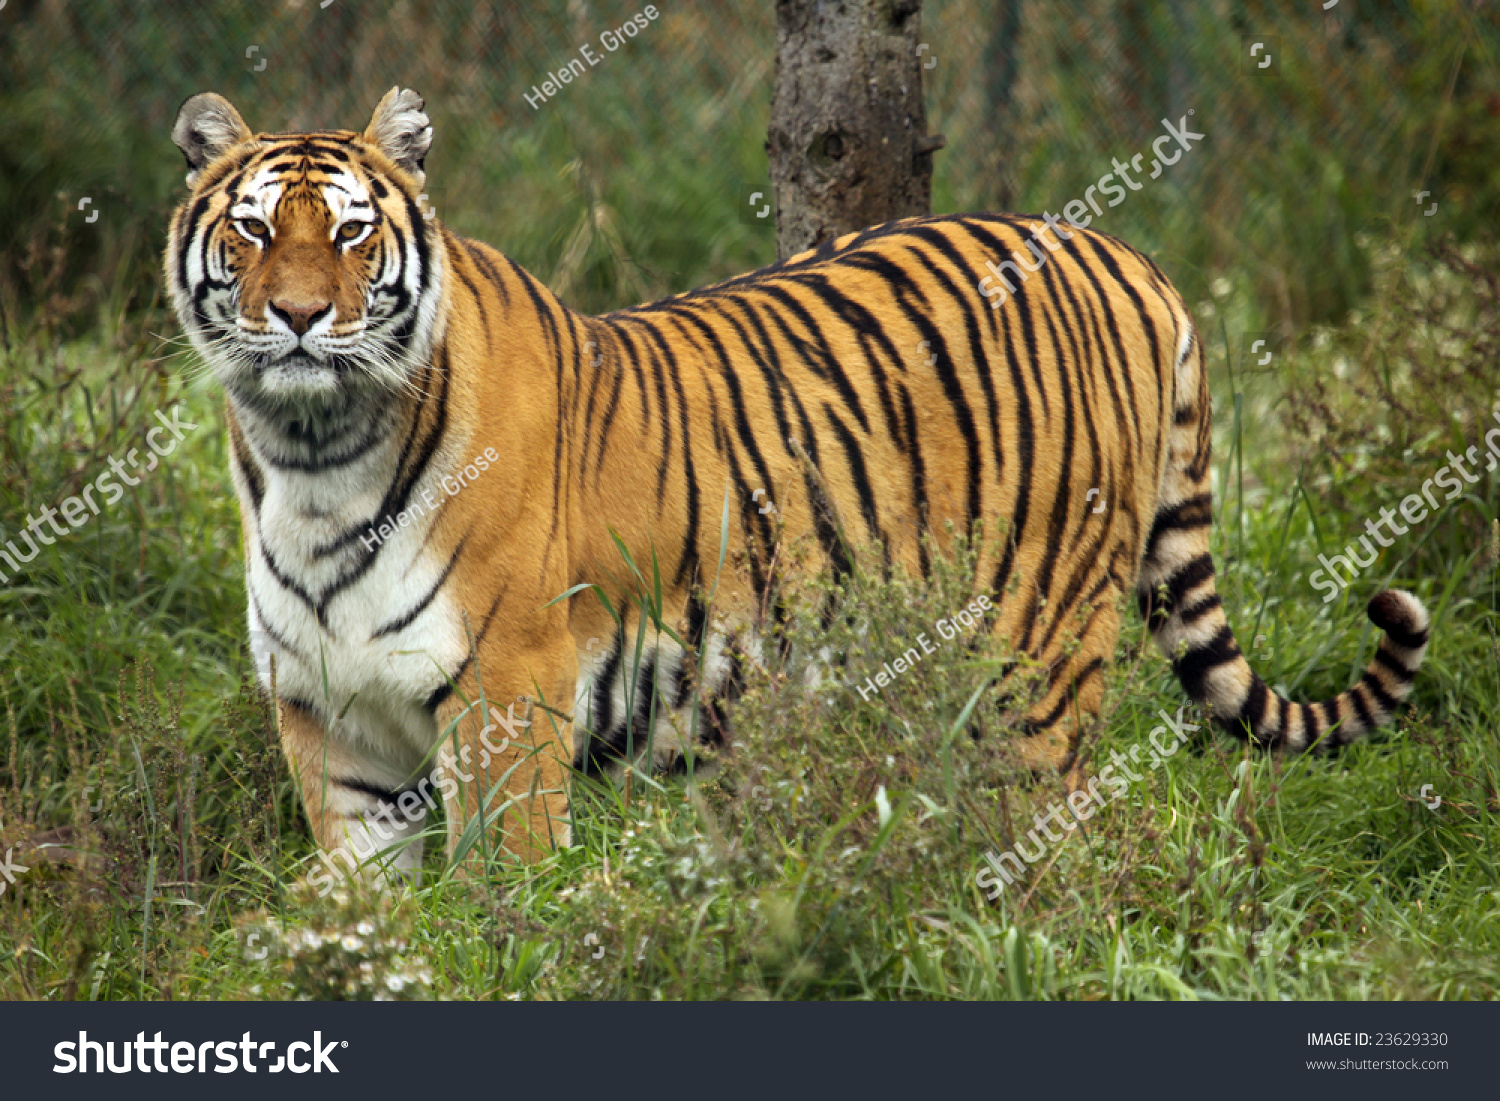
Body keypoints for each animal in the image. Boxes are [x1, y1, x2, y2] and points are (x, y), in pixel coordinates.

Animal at [164, 84, 1428, 882]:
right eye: (253, 230)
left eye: (353, 236)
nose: (299, 316)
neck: (313, 455)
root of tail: (1121, 251)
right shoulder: (330, 723)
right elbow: (370, 919)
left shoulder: (508, 700)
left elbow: (502, 896)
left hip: (1041, 661)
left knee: (1070, 839)